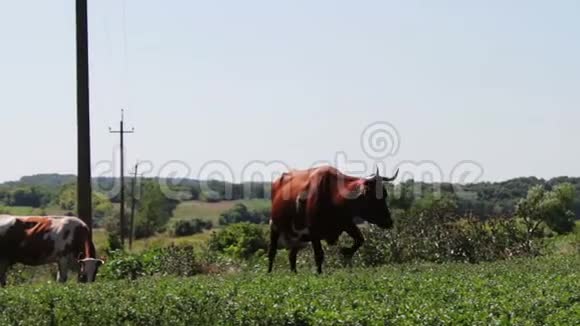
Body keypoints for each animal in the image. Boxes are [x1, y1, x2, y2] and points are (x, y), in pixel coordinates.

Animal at [268, 166, 398, 272]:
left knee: (292, 255)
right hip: (274, 226)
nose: (389, 221)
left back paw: (294, 273)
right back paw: (269, 272)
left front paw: (345, 251)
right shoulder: (314, 232)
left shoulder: (347, 223)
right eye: (373, 197)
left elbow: (360, 239)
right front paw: (319, 274)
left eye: (385, 194)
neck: (334, 196)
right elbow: (319, 255)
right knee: (272, 251)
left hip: (299, 237)